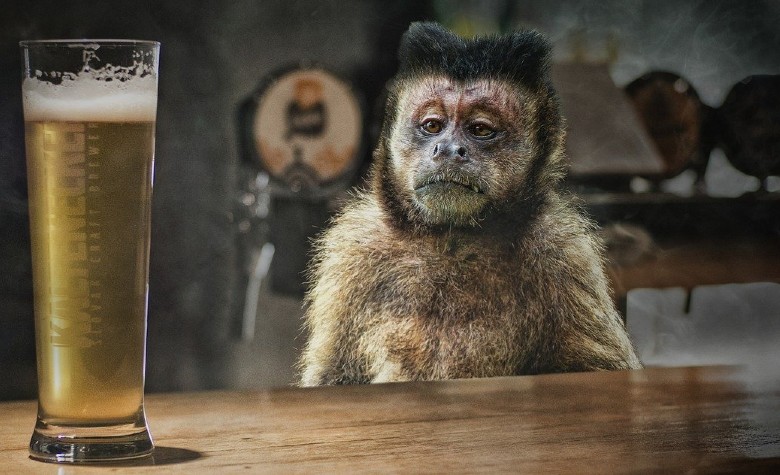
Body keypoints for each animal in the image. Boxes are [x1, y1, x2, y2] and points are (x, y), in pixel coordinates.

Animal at [298, 22, 642, 386]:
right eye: (432, 125)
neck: (450, 244)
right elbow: (333, 376)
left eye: (480, 129)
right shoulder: (353, 253)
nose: (448, 149)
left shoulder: (565, 254)